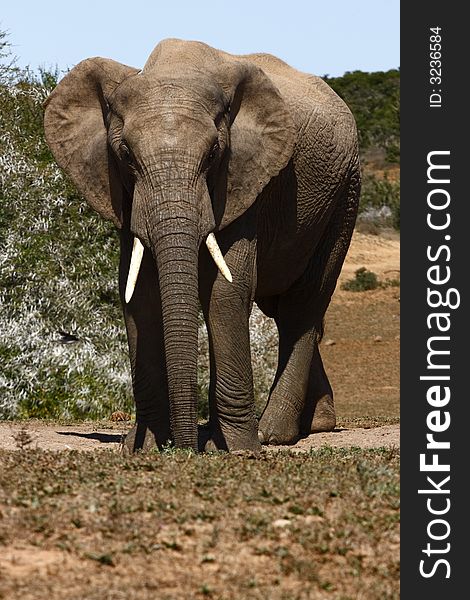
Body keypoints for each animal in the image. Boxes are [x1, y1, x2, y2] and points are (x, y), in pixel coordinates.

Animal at [44, 37, 360, 452]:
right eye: (125, 155)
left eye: (212, 155)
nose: (184, 448)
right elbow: (139, 293)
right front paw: (144, 446)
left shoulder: (245, 179)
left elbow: (226, 292)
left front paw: (238, 448)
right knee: (280, 306)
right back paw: (318, 423)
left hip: (344, 196)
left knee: (302, 305)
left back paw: (274, 433)